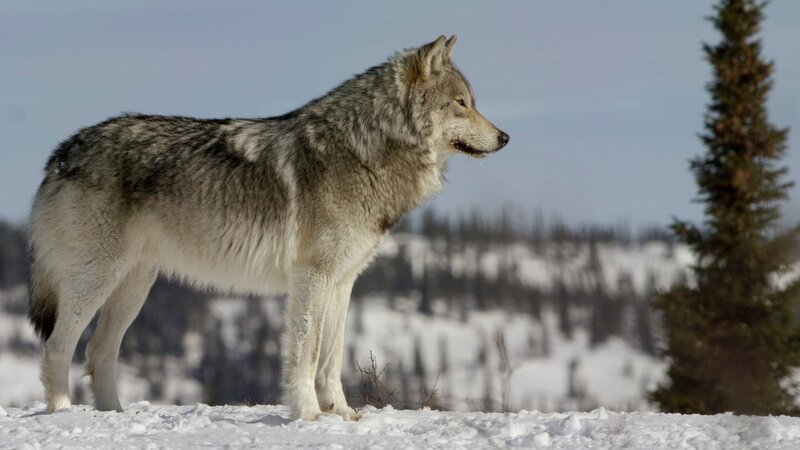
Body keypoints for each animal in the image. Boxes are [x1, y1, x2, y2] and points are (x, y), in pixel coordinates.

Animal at [28, 35, 508, 420]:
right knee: (58, 346)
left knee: (98, 350)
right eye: (462, 104)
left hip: (135, 286)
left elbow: (331, 358)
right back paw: (64, 415)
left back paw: (113, 415)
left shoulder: (342, 281)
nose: (505, 138)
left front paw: (343, 414)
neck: (365, 151)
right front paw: (309, 415)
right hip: (96, 279)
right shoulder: (311, 277)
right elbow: (305, 354)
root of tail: (61, 152)